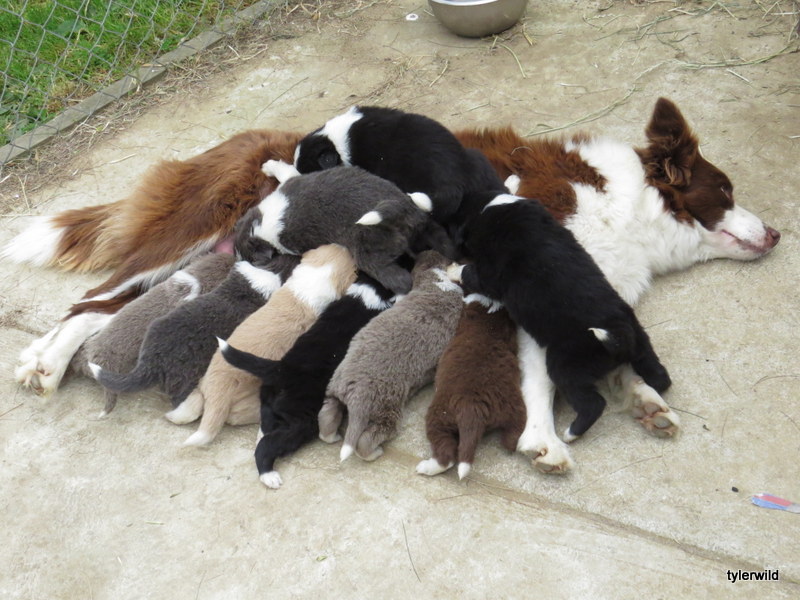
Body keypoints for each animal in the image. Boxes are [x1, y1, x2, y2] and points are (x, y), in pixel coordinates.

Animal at [217, 273, 394, 488]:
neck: (368, 290)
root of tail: (280, 368)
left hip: (269, 404)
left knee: (265, 428)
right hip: (303, 419)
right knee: (268, 445)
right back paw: (269, 476)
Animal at [319, 251, 463, 462]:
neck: (438, 282)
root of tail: (355, 396)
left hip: (333, 392)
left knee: (327, 419)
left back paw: (332, 436)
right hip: (386, 410)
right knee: (366, 442)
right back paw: (375, 453)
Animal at [417, 294, 526, 480]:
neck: (489, 323)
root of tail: (473, 407)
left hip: (439, 416)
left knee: (447, 454)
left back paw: (425, 467)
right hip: (513, 407)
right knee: (513, 436)